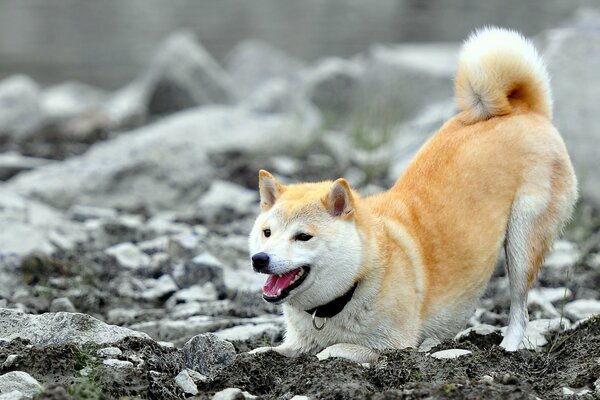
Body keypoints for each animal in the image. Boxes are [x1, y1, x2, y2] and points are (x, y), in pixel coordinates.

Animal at [247, 27, 576, 362]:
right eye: (267, 232)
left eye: (303, 237)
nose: (259, 259)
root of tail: (524, 111)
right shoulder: (297, 343)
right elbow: (265, 350)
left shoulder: (394, 344)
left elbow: (334, 350)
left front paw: (328, 353)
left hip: (522, 244)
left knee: (520, 310)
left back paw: (508, 346)